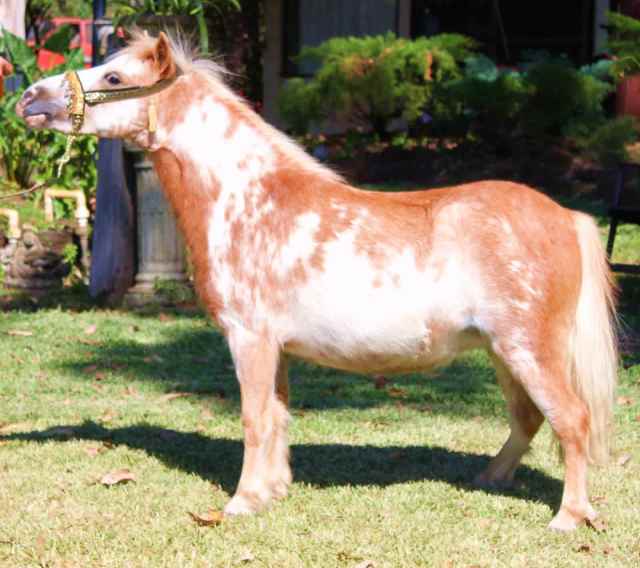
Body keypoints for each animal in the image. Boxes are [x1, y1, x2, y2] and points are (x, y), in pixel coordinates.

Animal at [16, 32, 617, 531]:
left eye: (115, 78)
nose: (29, 99)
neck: (248, 199)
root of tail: (567, 216)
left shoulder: (250, 339)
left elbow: (255, 418)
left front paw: (241, 502)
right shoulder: (277, 348)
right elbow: (278, 416)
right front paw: (273, 491)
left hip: (528, 350)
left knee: (571, 420)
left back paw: (568, 518)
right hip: (503, 352)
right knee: (529, 421)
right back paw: (490, 480)